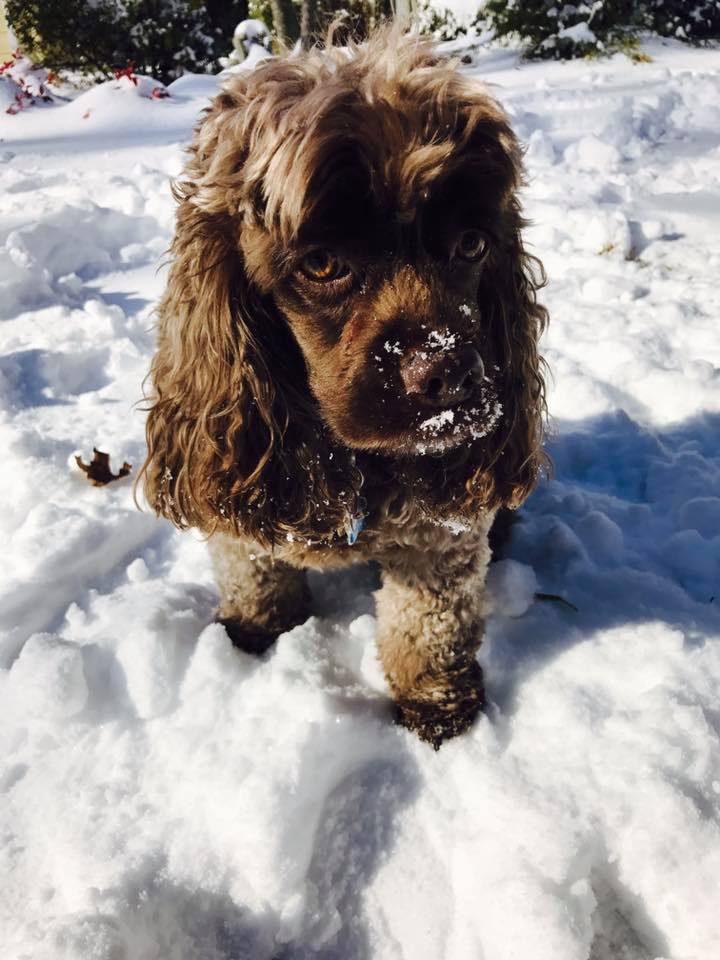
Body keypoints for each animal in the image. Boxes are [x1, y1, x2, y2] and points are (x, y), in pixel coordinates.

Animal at [139, 28, 544, 752]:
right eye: (323, 264)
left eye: (472, 245)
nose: (448, 374)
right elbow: (254, 572)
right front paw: (256, 631)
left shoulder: (440, 537)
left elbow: (426, 626)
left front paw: (435, 705)